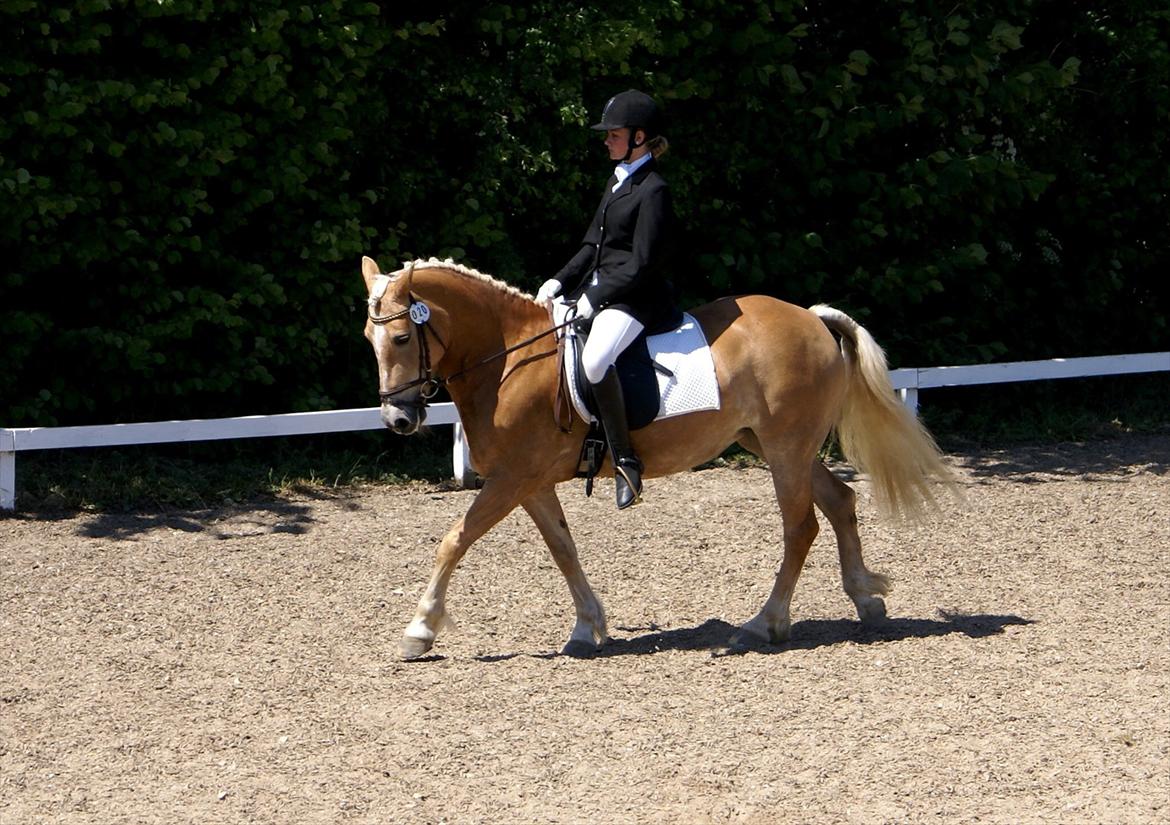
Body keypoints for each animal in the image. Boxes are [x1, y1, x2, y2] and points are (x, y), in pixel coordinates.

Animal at [360, 253, 954, 660]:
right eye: (370, 337)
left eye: (402, 338)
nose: (398, 420)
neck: (508, 362)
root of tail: (811, 317)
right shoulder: (532, 483)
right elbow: (563, 549)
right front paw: (587, 627)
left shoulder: (511, 478)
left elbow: (453, 540)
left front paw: (420, 629)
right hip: (774, 443)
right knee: (839, 502)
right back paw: (866, 600)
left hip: (785, 448)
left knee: (801, 525)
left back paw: (763, 624)